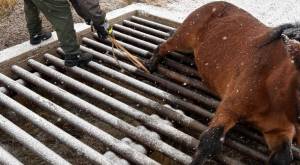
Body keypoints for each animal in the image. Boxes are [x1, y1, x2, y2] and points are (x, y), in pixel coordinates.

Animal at [146, 1, 300, 165]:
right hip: (184, 40)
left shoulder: (279, 131)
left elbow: (283, 157)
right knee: (163, 46)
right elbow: (211, 142)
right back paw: (151, 64)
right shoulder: (229, 108)